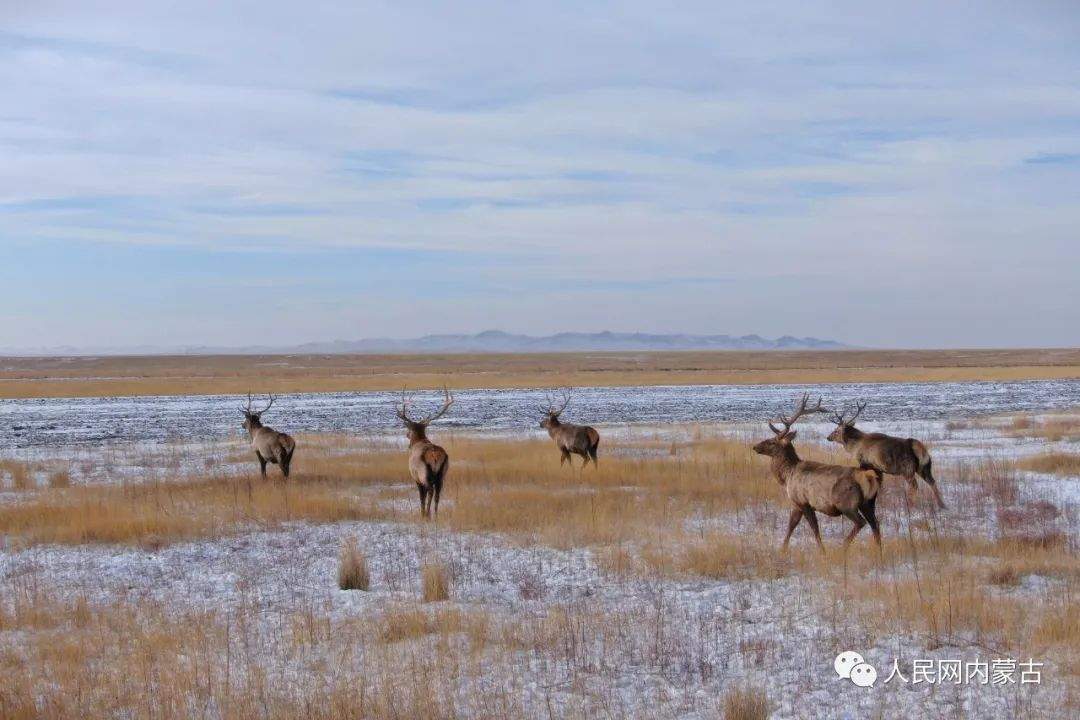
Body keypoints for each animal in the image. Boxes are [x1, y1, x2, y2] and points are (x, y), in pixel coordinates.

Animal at [396, 386, 453, 519]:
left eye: (409, 428)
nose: (407, 434)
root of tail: (434, 455)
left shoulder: (416, 478)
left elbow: (421, 497)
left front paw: (422, 513)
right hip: (442, 474)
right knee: (437, 494)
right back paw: (436, 515)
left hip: (424, 474)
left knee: (430, 491)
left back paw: (427, 514)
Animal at [751, 394, 883, 552]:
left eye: (772, 442)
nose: (755, 446)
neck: (787, 475)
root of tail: (869, 477)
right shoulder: (796, 503)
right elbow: (791, 526)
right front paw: (783, 549)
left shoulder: (804, 501)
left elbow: (814, 528)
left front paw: (822, 551)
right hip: (868, 503)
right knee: (875, 523)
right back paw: (879, 550)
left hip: (847, 503)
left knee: (861, 522)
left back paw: (843, 546)